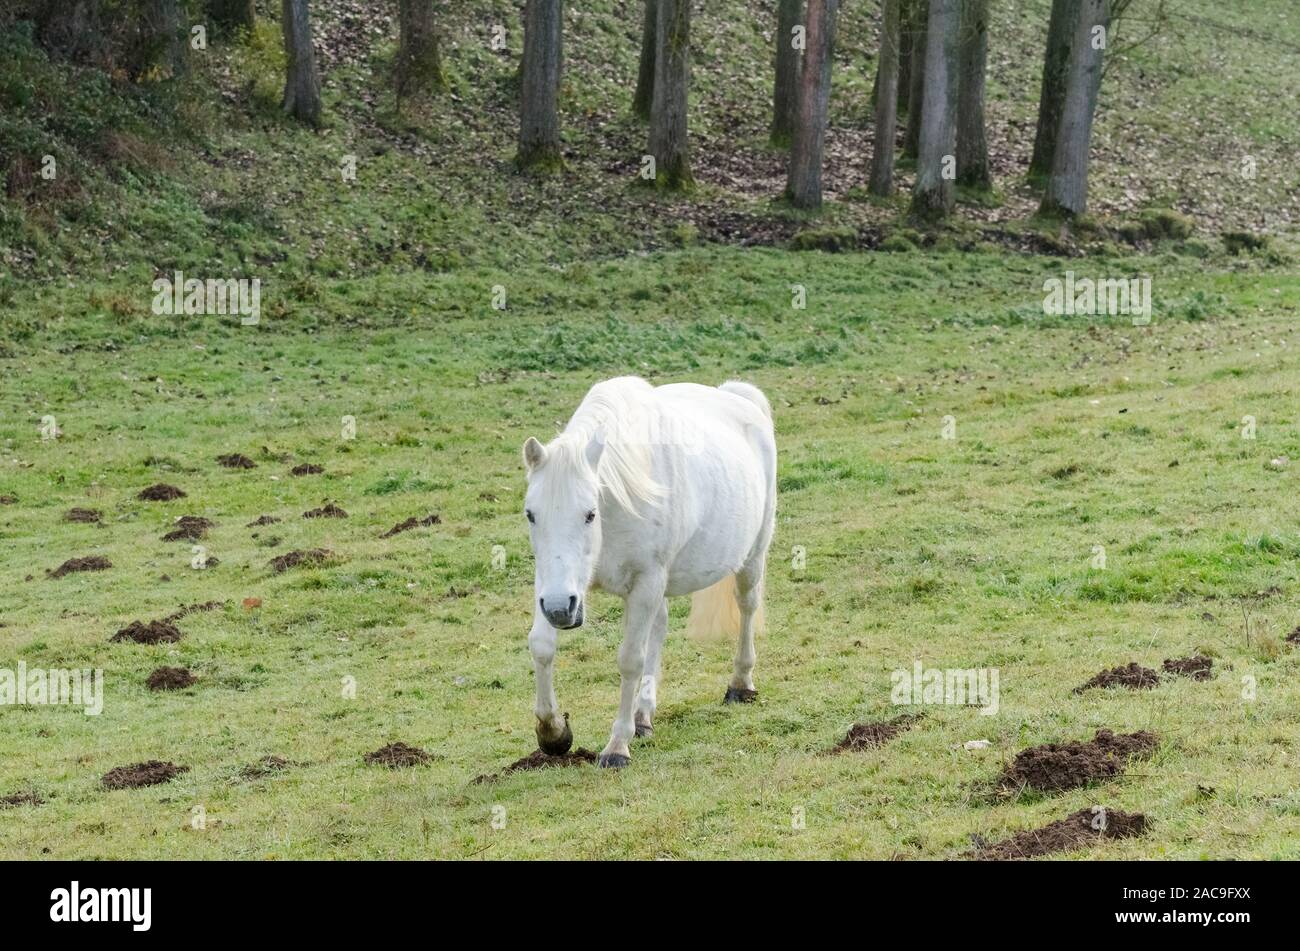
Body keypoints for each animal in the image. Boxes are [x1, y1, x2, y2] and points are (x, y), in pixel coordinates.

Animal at [522, 374, 774, 769]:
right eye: (531, 514)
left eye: (590, 513)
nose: (562, 610)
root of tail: (738, 396)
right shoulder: (552, 584)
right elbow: (542, 645)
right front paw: (553, 733)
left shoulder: (645, 583)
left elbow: (630, 659)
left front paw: (617, 746)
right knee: (660, 626)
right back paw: (643, 715)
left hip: (752, 555)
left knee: (746, 606)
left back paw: (740, 684)